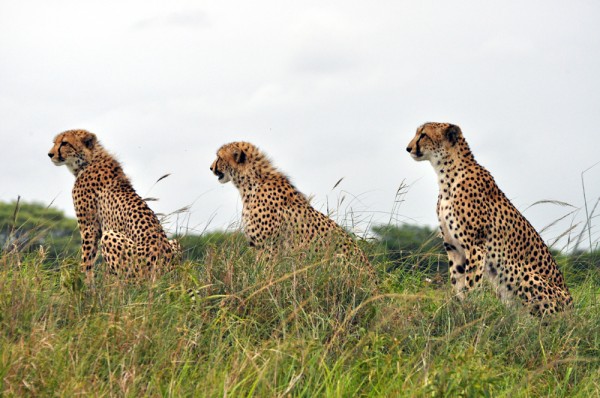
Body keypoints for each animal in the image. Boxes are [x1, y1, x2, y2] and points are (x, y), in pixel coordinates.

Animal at [48, 129, 179, 282]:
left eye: (65, 143)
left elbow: (87, 259)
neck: (89, 160)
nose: (50, 154)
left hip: (113, 239)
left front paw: (83, 281)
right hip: (174, 242)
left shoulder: (89, 227)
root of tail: (168, 271)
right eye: (55, 142)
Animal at [408, 123, 572, 316]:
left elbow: (472, 284)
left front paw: (470, 310)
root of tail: (572, 309)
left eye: (423, 135)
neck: (447, 176)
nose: (408, 148)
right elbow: (457, 283)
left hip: (523, 275)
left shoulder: (475, 245)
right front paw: (457, 309)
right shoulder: (453, 247)